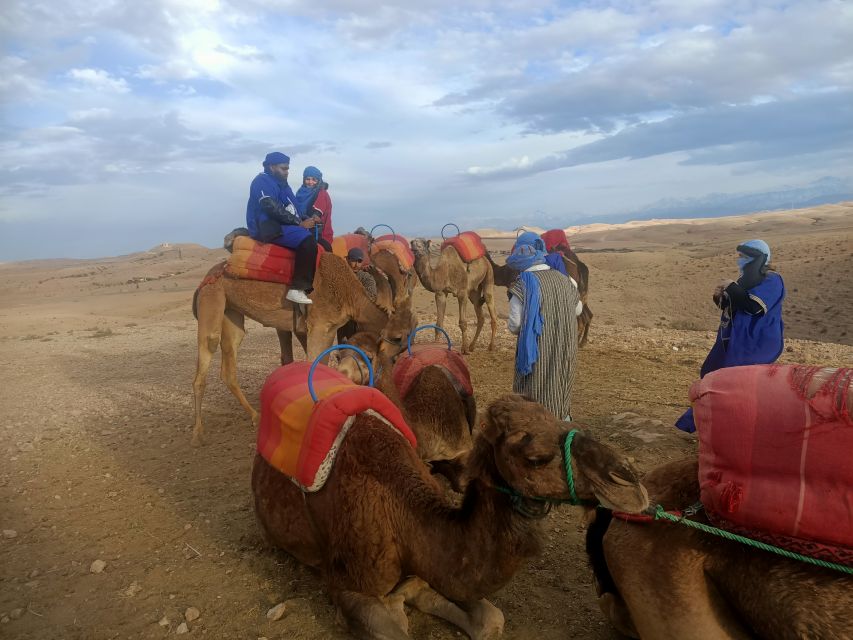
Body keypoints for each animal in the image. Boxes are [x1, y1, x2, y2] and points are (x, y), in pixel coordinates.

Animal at [191, 251, 390, 444]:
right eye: (372, 357)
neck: (351, 296)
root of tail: (206, 278)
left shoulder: (317, 329)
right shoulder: (320, 325)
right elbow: (315, 364)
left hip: (231, 310)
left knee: (229, 362)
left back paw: (255, 416)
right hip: (212, 295)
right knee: (209, 345)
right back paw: (198, 433)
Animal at [251, 396, 644, 640]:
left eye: (561, 420)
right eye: (535, 457)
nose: (630, 481)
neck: (402, 516)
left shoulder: (430, 569)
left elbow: (490, 619)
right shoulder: (347, 588)